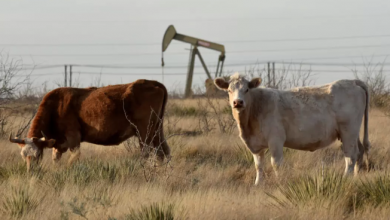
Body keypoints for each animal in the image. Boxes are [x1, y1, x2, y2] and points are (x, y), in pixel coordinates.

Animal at [8, 79, 171, 172]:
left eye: (38, 154)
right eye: (23, 155)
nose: (30, 171)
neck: (56, 107)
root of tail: (153, 82)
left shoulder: (74, 139)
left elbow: (73, 160)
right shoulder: (58, 145)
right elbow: (56, 160)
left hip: (145, 132)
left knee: (147, 153)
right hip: (158, 130)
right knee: (163, 152)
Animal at [215, 73, 370, 185]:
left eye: (246, 90)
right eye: (229, 90)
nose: (238, 102)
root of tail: (352, 81)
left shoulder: (276, 140)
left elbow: (276, 164)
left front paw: (279, 183)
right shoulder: (255, 145)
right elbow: (258, 165)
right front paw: (258, 184)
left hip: (348, 131)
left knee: (351, 156)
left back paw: (346, 178)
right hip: (352, 133)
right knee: (360, 151)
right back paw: (356, 177)